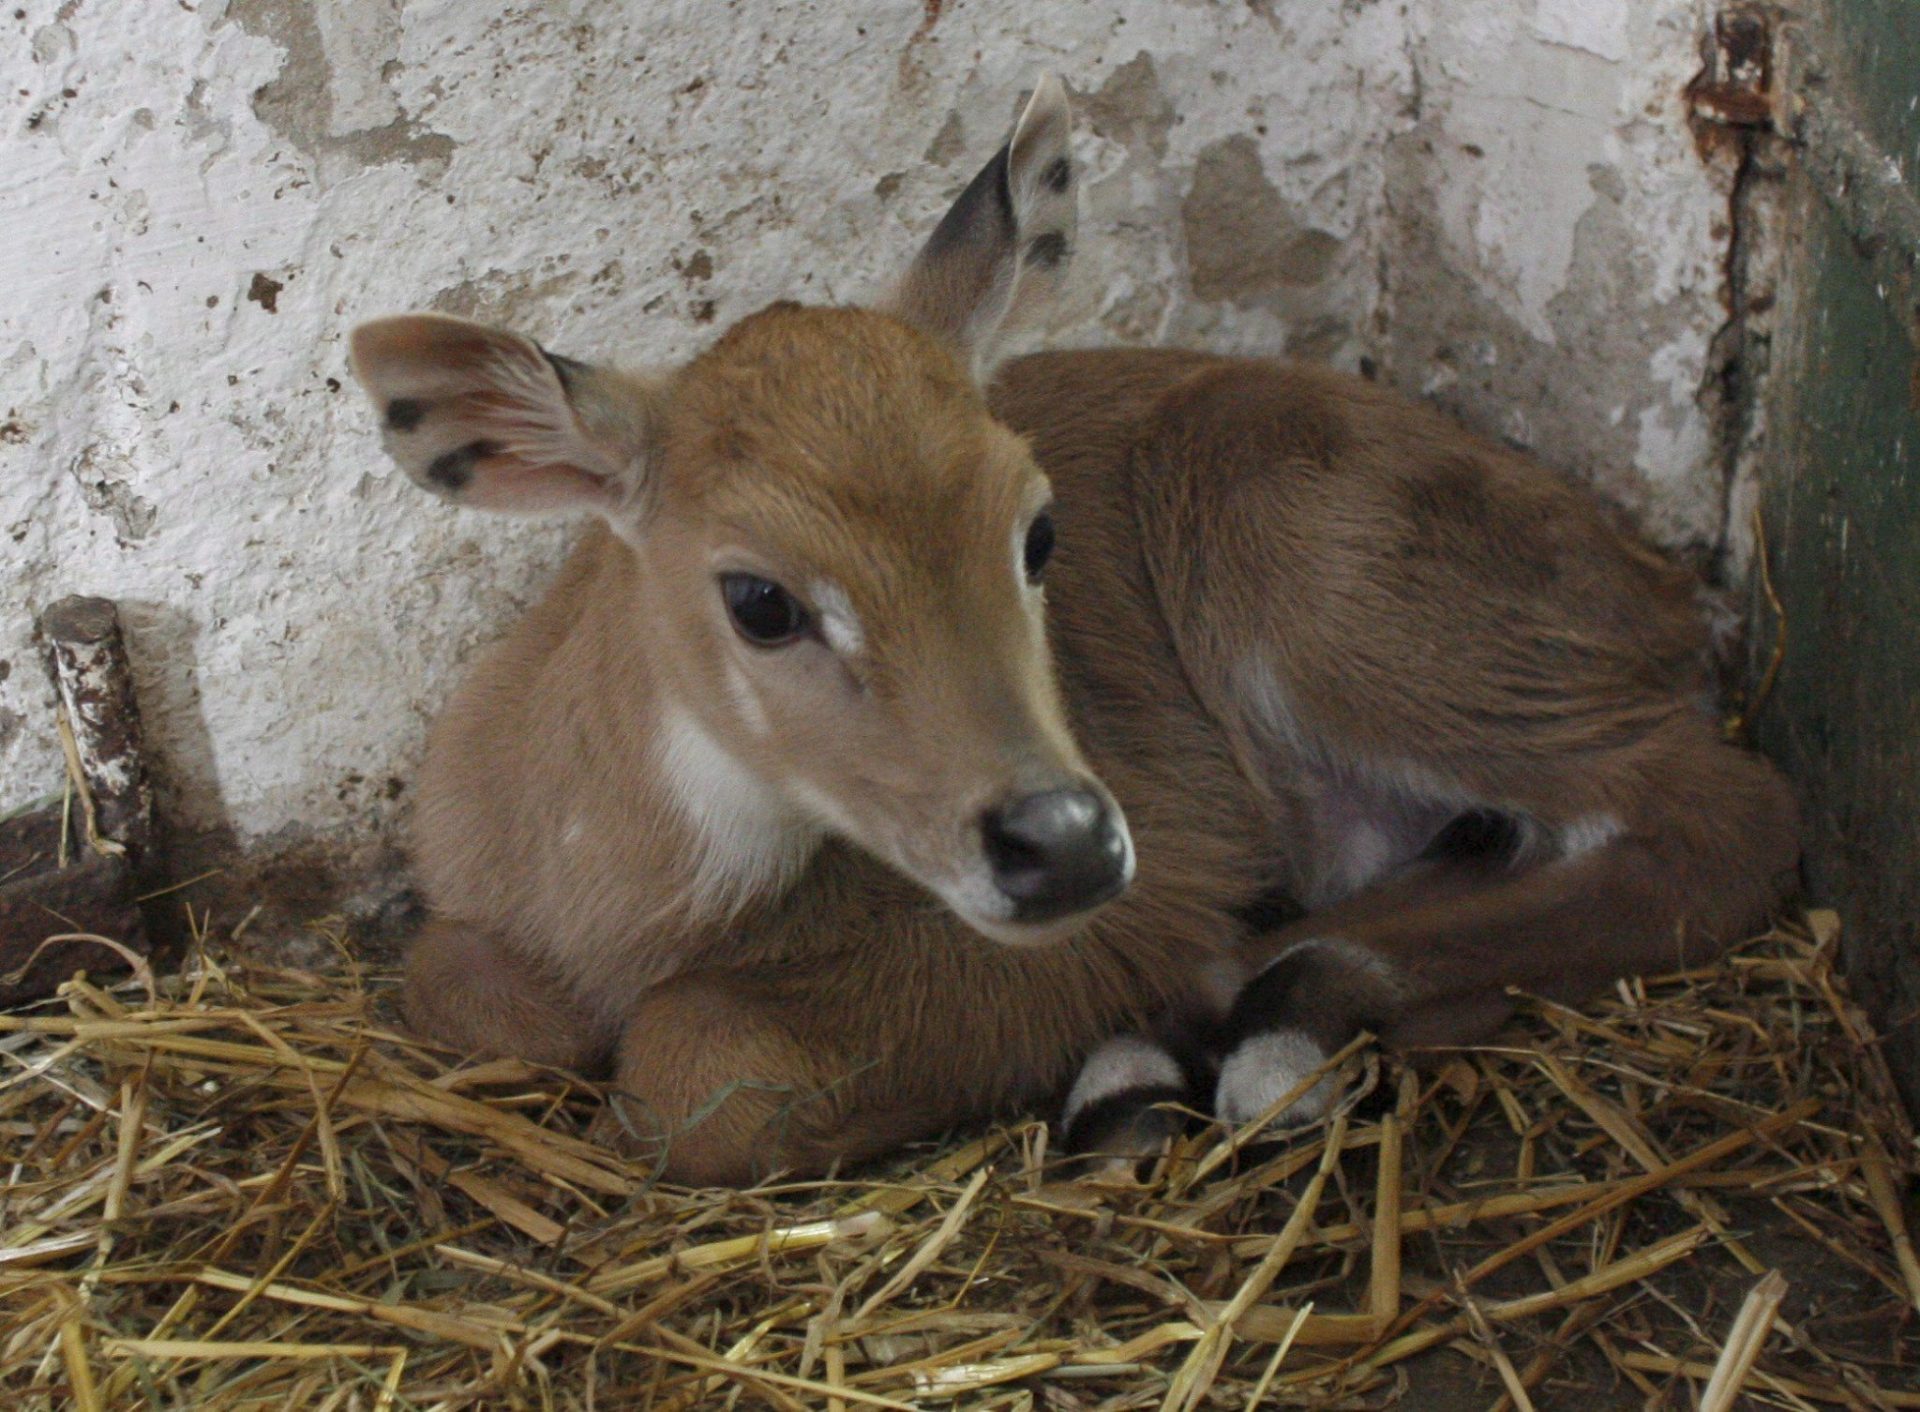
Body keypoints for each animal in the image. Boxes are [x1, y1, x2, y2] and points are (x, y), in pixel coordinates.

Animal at [347, 77, 1798, 1186]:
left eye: (1039, 531)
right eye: (757, 595)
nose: (1067, 840)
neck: (617, 900)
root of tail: (1671, 593)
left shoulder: (1131, 889)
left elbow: (700, 1063)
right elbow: (456, 983)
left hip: (1333, 585)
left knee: (1723, 814)